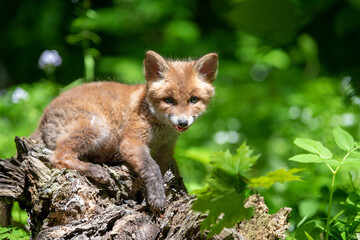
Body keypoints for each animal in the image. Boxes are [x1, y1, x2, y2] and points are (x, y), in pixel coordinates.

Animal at [29, 50, 218, 210]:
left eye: (194, 100)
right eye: (168, 100)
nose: (183, 122)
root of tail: (43, 116)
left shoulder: (166, 150)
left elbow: (169, 170)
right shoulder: (131, 142)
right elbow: (152, 168)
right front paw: (157, 196)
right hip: (97, 127)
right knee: (58, 157)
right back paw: (96, 171)